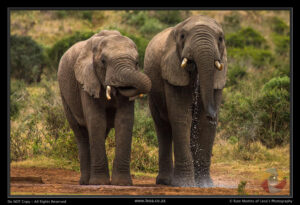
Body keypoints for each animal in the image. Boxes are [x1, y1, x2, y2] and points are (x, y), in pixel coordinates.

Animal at [58, 30, 152, 186]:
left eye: (137, 62)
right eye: (103, 61)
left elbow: (124, 122)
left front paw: (122, 184)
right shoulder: (86, 82)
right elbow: (97, 121)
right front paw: (99, 183)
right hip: (65, 96)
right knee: (81, 134)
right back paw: (85, 182)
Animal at [144, 15, 226, 187]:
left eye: (220, 38)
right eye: (182, 36)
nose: (213, 114)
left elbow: (203, 123)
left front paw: (205, 185)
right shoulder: (172, 71)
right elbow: (181, 117)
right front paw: (184, 184)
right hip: (153, 94)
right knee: (163, 128)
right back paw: (165, 182)